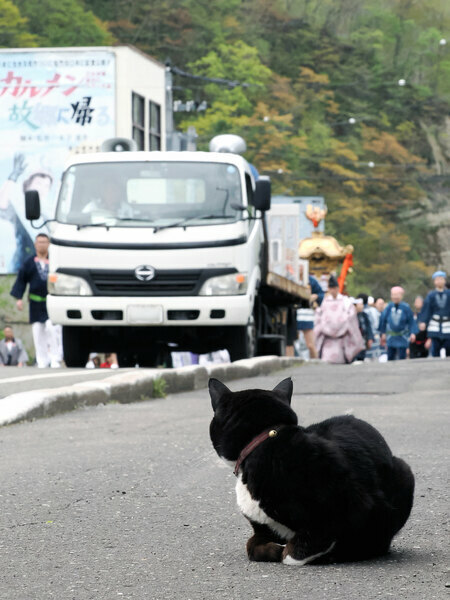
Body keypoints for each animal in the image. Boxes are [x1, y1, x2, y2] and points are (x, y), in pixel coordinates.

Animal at [209, 378, 414, 564]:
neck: (262, 440)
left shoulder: (350, 504)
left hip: (404, 473)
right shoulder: (262, 528)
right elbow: (251, 546)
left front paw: (291, 552)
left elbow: (298, 548)